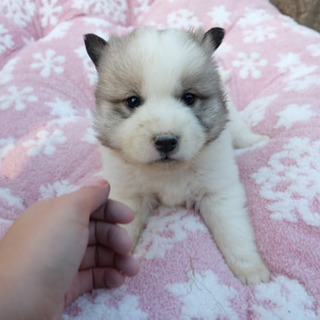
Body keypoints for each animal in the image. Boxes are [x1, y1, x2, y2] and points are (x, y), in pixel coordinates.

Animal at [84, 26, 270, 284]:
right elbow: (124, 229)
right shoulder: (128, 195)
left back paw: (256, 141)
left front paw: (251, 271)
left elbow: (233, 231)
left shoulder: (219, 191)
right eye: (132, 101)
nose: (166, 142)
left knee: (242, 132)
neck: (168, 172)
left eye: (189, 98)